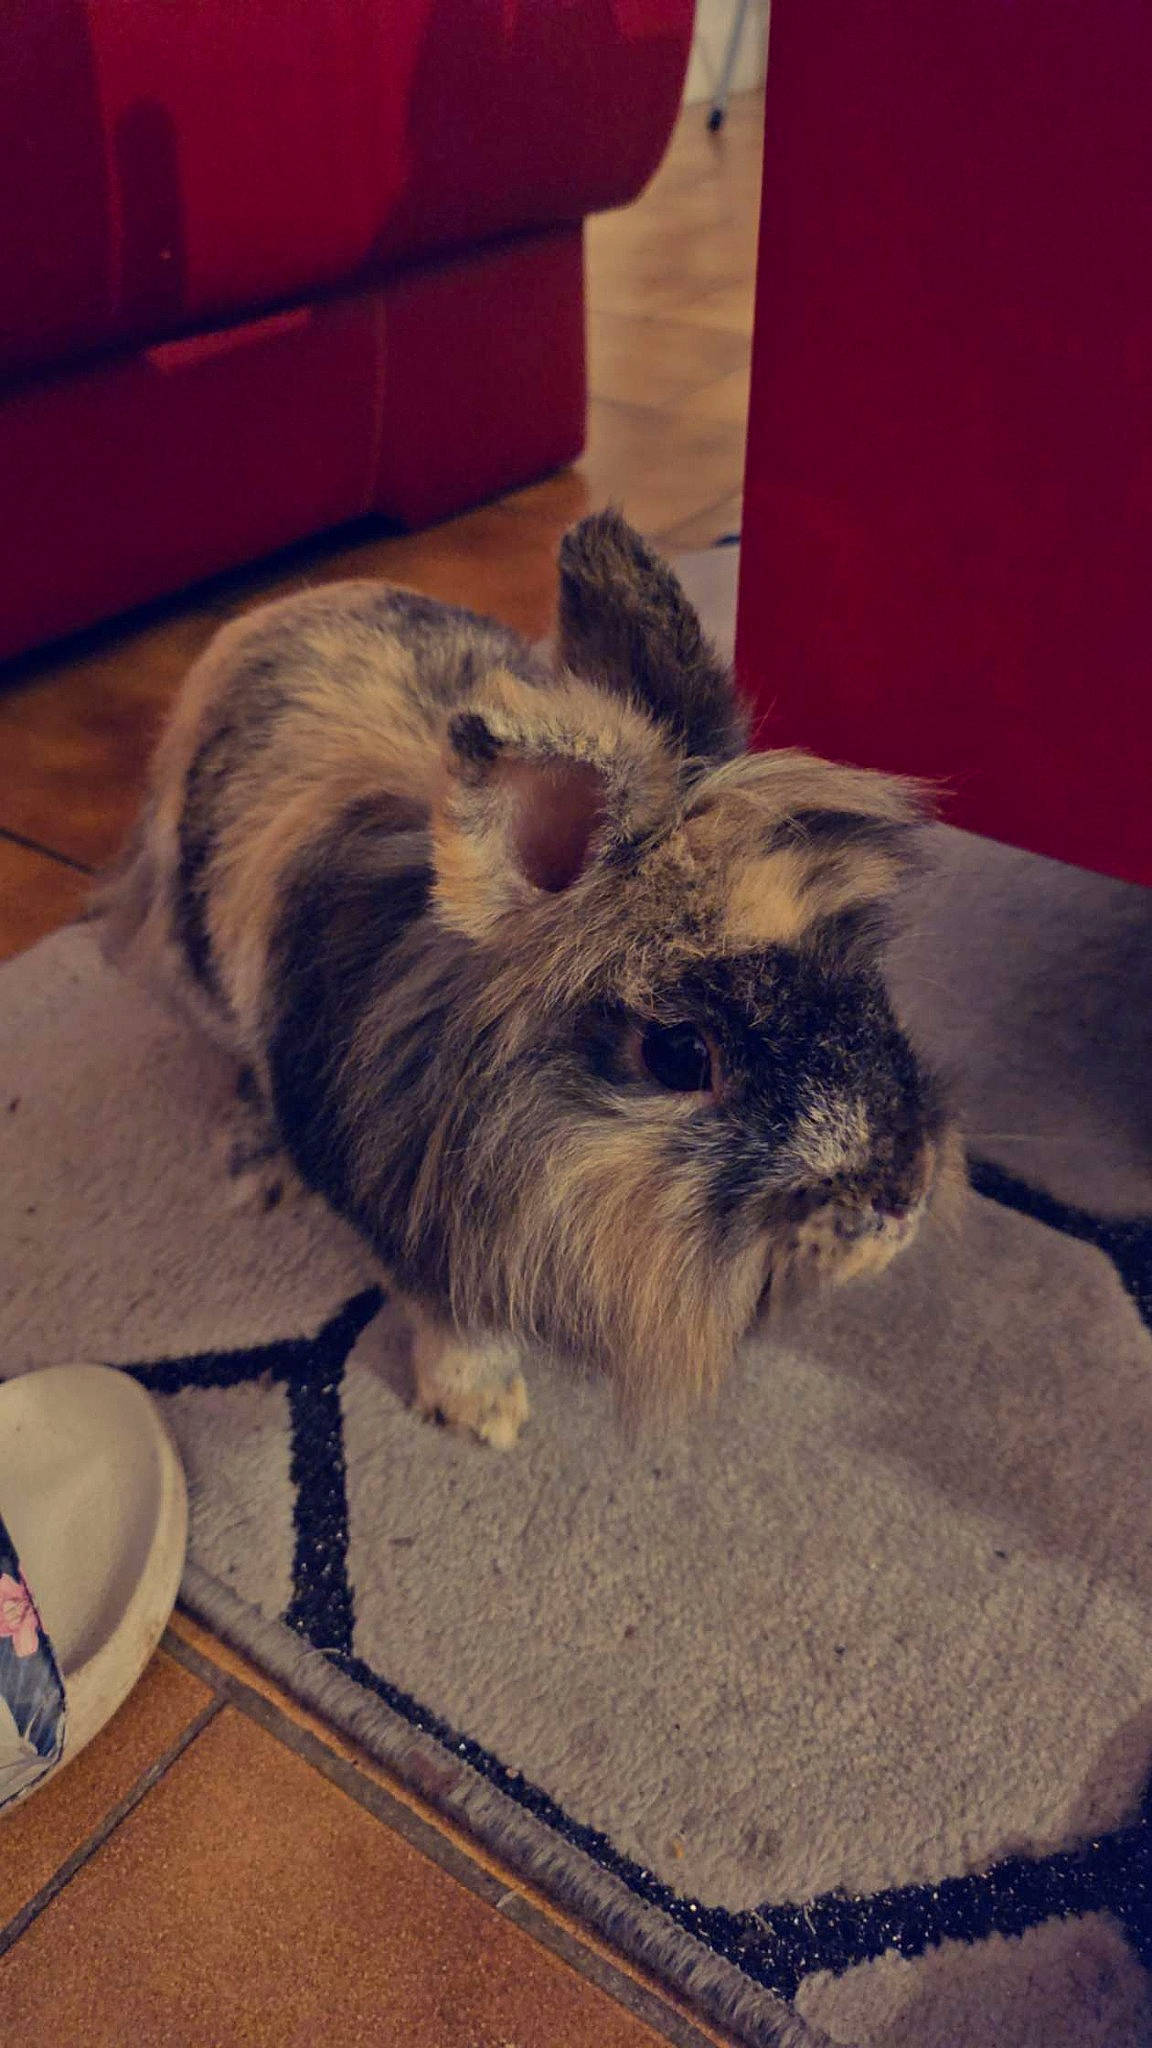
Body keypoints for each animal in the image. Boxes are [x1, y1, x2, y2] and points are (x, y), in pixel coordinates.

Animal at [99, 510, 960, 1446]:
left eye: (861, 969)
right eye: (680, 1055)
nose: (903, 1200)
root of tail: (268, 614)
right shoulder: (421, 1229)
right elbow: (452, 1324)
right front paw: (485, 1416)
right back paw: (259, 1164)